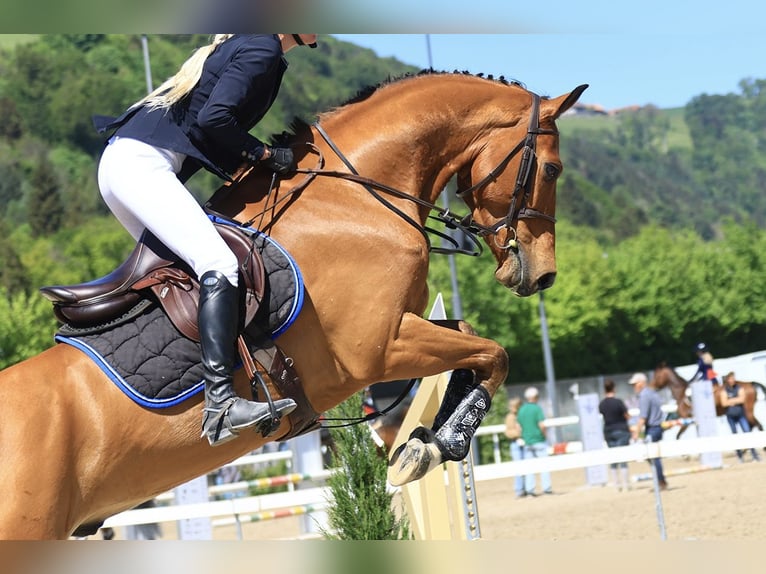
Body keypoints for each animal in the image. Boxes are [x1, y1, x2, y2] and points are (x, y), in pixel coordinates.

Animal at [0, 71, 587, 539]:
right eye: (553, 170)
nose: (542, 275)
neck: (356, 197)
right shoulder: (380, 348)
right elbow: (495, 354)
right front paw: (434, 447)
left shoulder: (406, 328)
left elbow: (472, 346)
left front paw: (422, 443)